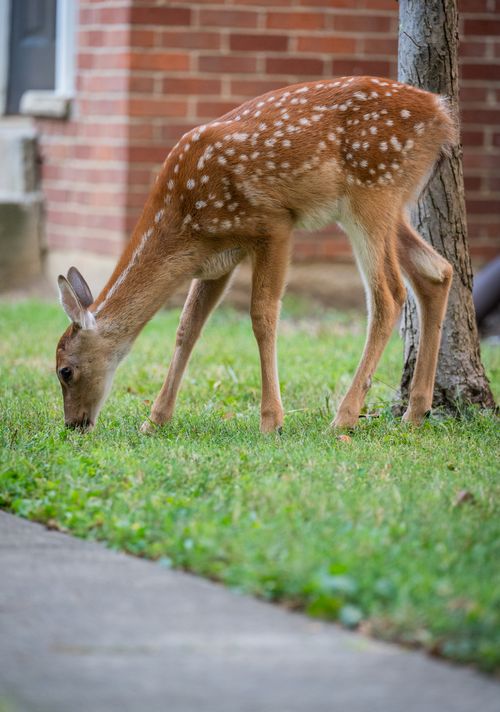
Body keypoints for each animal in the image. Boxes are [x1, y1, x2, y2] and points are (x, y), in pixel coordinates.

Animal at [56, 76, 455, 434]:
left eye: (65, 370)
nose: (74, 425)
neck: (182, 216)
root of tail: (442, 113)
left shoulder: (273, 223)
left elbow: (262, 316)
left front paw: (271, 422)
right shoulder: (216, 259)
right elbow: (188, 326)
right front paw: (154, 421)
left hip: (373, 188)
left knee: (388, 294)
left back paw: (344, 417)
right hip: (390, 204)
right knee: (437, 271)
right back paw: (415, 413)